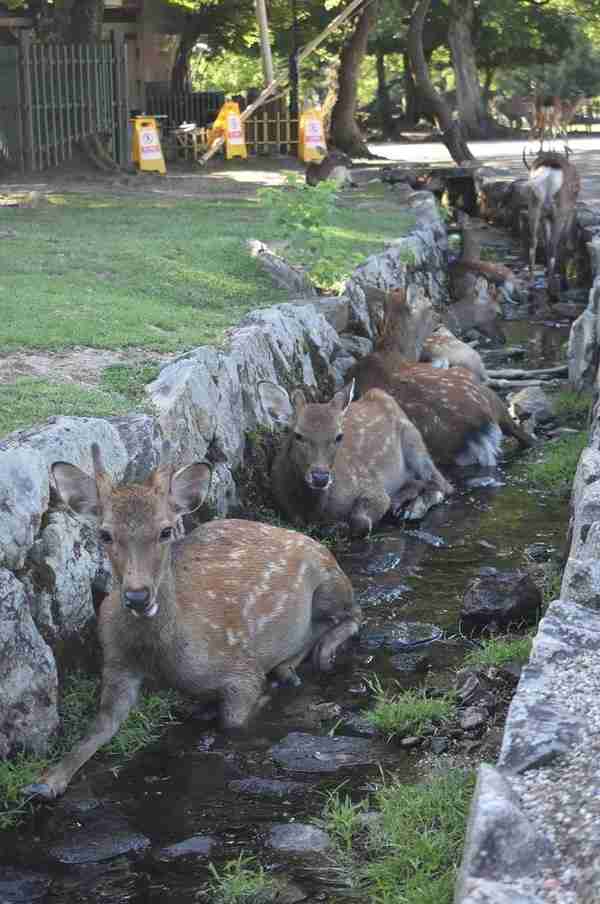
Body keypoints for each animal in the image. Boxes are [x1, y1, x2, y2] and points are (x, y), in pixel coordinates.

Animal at [24, 442, 360, 801]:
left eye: (165, 530)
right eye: (104, 534)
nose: (138, 596)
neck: (163, 656)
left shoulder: (240, 667)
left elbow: (234, 718)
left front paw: (263, 698)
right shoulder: (116, 662)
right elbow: (100, 724)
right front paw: (48, 780)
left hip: (329, 580)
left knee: (353, 615)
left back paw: (306, 662)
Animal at [257, 379, 453, 536]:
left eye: (339, 436)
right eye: (298, 435)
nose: (320, 477)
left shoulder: (373, 489)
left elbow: (361, 522)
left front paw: (339, 526)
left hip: (414, 440)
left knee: (443, 484)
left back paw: (412, 509)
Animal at [346, 287, 533, 468]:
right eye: (429, 305)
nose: (440, 316)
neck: (397, 352)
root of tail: (475, 430)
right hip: (481, 389)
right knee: (523, 435)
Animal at [522, 149, 580, 294]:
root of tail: (548, 173)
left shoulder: (546, 217)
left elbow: (546, 242)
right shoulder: (569, 212)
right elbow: (565, 242)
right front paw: (564, 282)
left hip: (534, 205)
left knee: (533, 242)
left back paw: (532, 283)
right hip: (560, 209)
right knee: (554, 243)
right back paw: (552, 287)